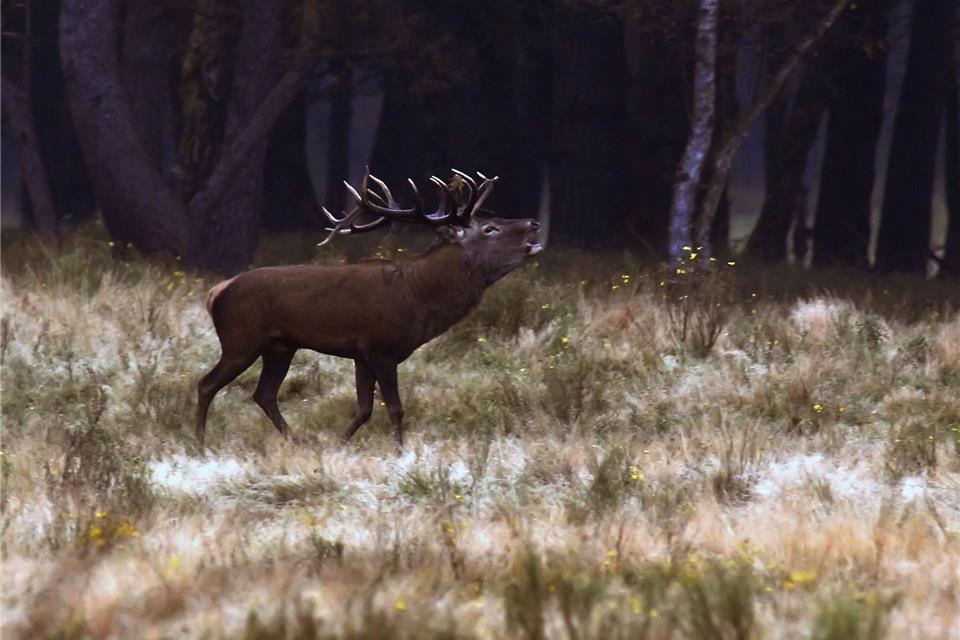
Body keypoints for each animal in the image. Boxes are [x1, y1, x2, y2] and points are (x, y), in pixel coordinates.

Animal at [196, 169, 542, 448]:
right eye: (490, 228)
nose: (534, 223)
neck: (418, 298)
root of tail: (216, 292)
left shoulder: (361, 354)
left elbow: (364, 408)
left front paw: (337, 445)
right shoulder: (380, 347)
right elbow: (394, 407)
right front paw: (400, 452)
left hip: (280, 346)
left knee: (264, 394)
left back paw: (298, 441)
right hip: (241, 339)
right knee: (207, 384)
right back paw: (199, 442)